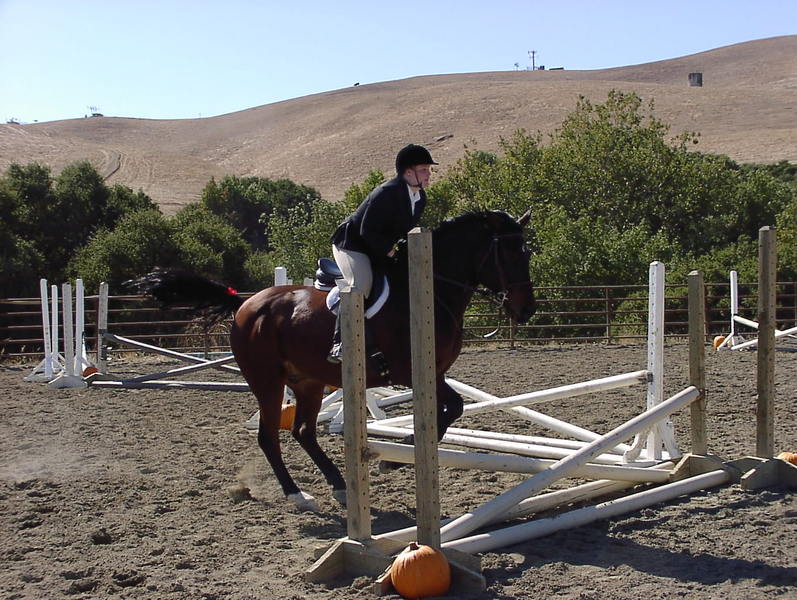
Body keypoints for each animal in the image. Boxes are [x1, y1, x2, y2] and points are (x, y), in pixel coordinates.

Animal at [130, 210, 536, 510]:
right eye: (509, 254)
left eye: (527, 253)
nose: (527, 310)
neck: (433, 289)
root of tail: (245, 304)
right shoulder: (411, 370)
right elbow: (452, 408)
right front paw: (393, 457)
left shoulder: (433, 373)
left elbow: (450, 411)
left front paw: (397, 454)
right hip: (268, 381)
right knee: (269, 435)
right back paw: (298, 495)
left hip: (308, 382)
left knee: (303, 432)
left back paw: (339, 485)